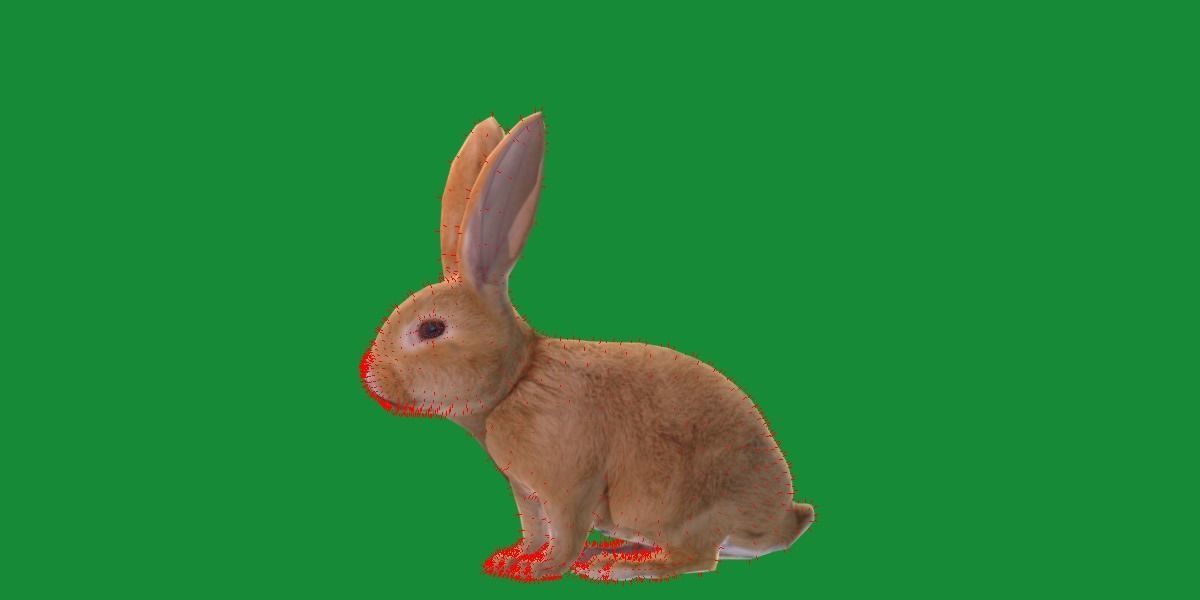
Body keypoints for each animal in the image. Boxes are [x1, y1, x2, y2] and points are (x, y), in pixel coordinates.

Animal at [359, 113, 815, 582]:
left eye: (431, 329)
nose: (368, 373)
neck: (517, 380)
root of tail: (778, 522)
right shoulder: (525, 491)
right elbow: (533, 528)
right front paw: (512, 559)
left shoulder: (570, 485)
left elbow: (564, 531)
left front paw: (540, 570)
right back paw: (610, 549)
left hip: (686, 508)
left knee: (698, 557)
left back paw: (619, 566)